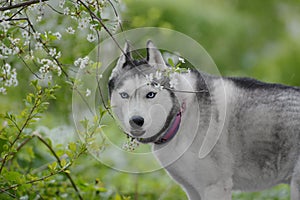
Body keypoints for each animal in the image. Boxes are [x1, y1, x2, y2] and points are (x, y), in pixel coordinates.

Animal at [108, 41, 300, 200]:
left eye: (150, 94)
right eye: (124, 95)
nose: (136, 120)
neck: (182, 115)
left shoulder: (216, 187)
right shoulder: (192, 189)